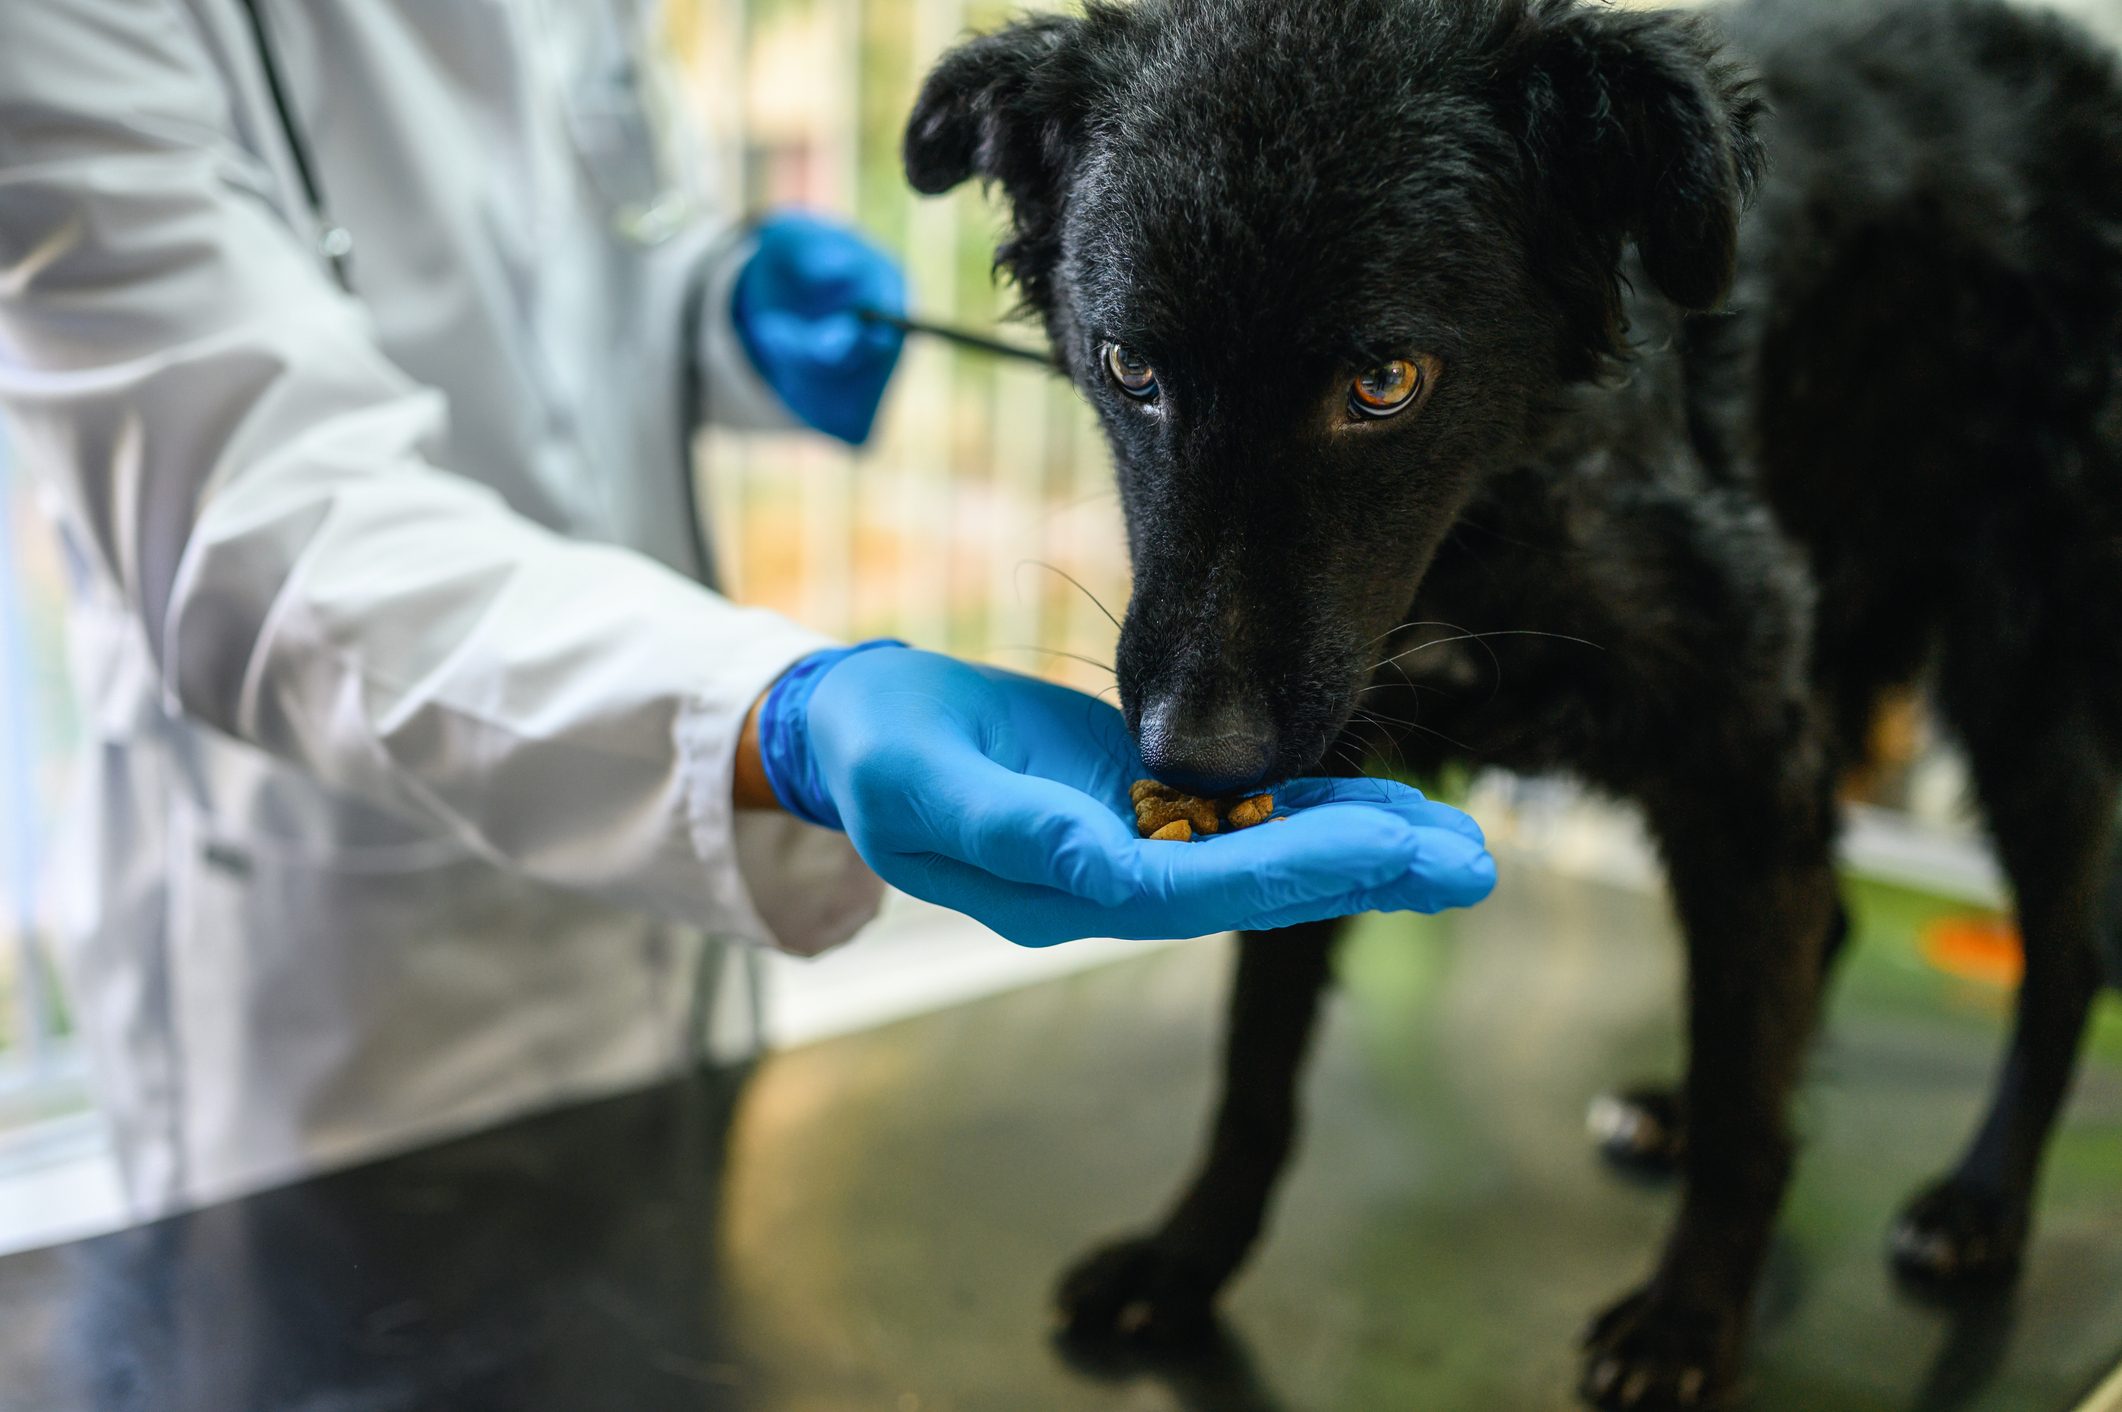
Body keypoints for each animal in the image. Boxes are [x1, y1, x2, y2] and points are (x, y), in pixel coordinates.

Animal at [899, 2, 2122, 1401]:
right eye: (1128, 365)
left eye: (1385, 381)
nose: (1197, 755)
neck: (1488, 520)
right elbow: (1254, 1065)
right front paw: (1188, 1253)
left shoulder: (1738, 746)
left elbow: (1750, 1111)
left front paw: (1689, 1319)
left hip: (2021, 668)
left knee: (2061, 951)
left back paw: (1981, 1203)